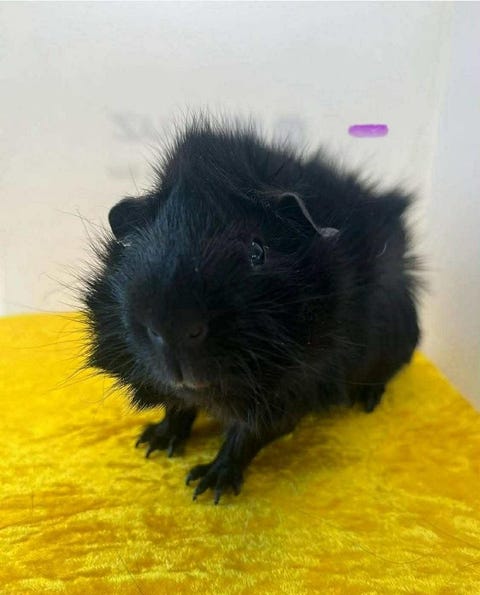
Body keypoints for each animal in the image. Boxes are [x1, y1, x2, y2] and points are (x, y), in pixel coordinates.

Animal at [82, 116, 420, 504]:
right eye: (137, 247)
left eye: (257, 251)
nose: (173, 327)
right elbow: (178, 407)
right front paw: (152, 443)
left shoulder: (293, 391)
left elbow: (246, 437)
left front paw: (207, 485)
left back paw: (365, 400)